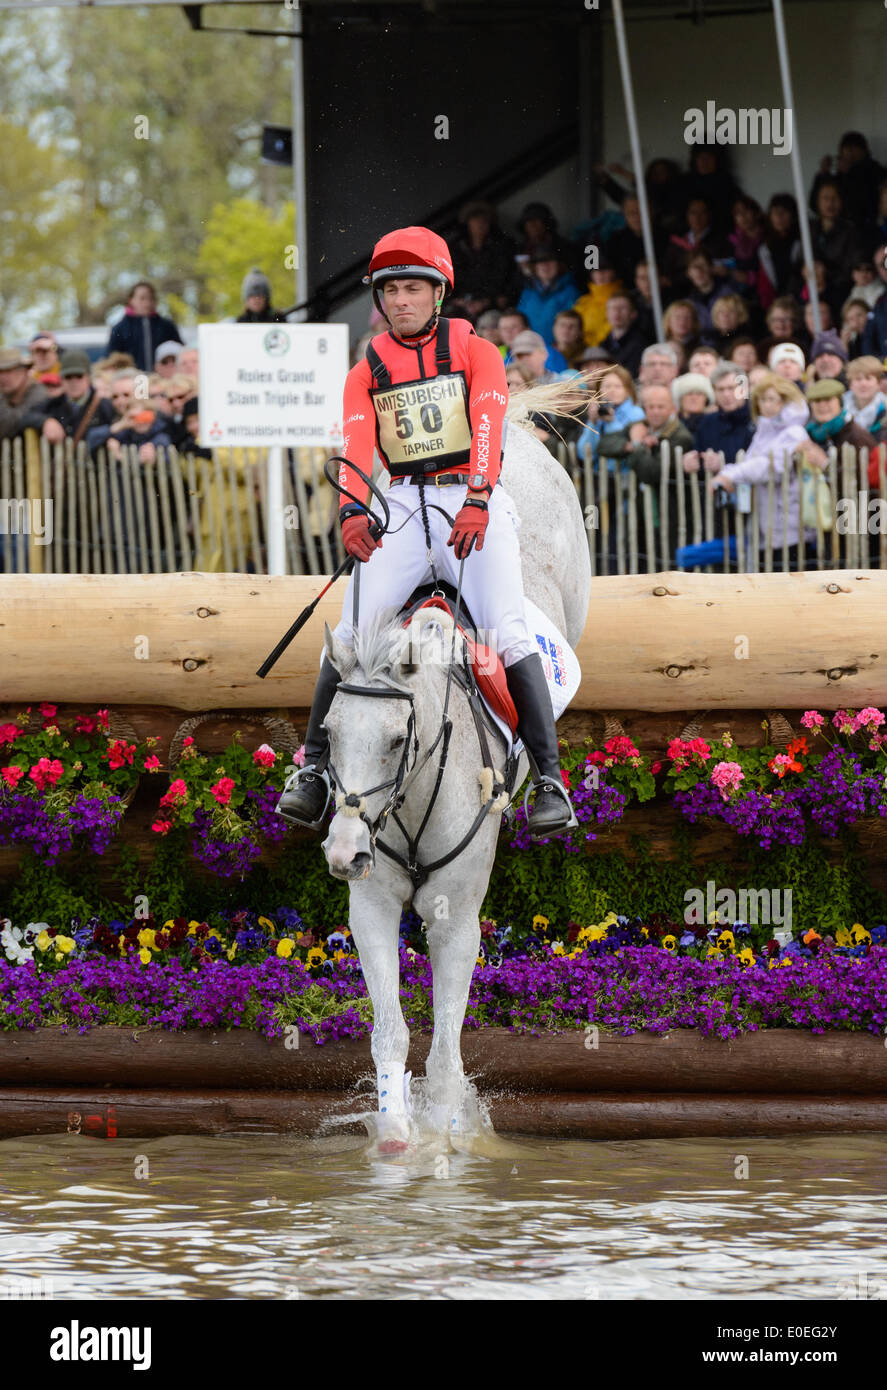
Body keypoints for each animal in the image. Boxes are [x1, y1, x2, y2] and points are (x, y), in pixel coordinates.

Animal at [318, 411, 589, 1150]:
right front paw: (394, 1139)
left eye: (394, 741)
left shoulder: (455, 917)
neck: (408, 801)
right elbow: (389, 1033)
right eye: (329, 731)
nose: (342, 853)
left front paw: (449, 1138)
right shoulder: (372, 905)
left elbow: (443, 1050)